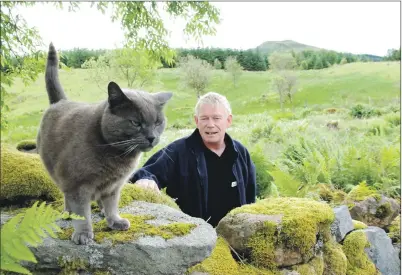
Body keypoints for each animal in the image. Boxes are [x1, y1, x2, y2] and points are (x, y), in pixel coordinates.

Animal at [38, 43, 174, 246]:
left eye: (158, 122)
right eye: (135, 123)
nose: (152, 137)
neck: (117, 156)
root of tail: (60, 101)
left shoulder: (114, 186)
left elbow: (112, 205)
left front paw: (114, 221)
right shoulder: (77, 184)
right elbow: (82, 213)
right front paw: (83, 233)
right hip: (56, 172)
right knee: (67, 198)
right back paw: (68, 213)